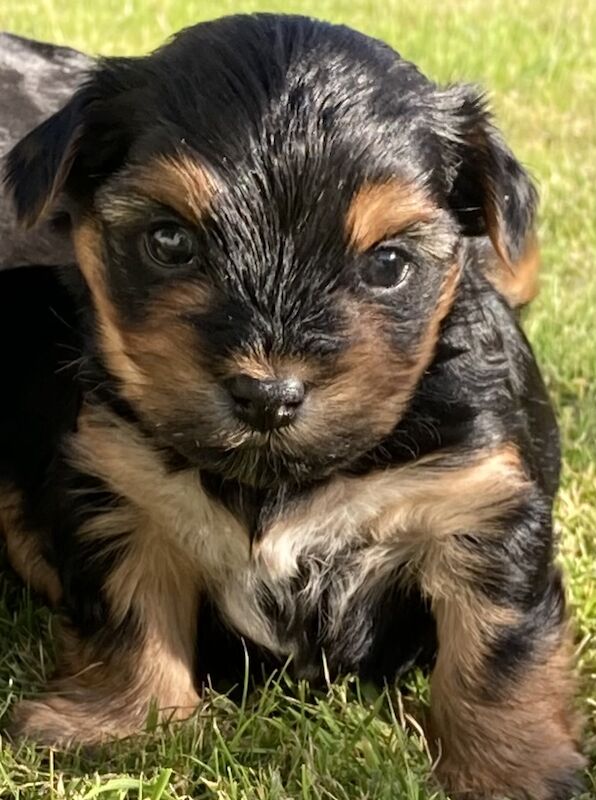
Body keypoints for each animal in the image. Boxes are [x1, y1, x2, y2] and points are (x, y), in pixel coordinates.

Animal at [0, 17, 588, 800]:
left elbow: (495, 649)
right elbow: (129, 614)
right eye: (169, 241)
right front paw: (123, 725)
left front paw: (514, 769)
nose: (267, 394)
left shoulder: (479, 502)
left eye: (388, 264)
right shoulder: (120, 488)